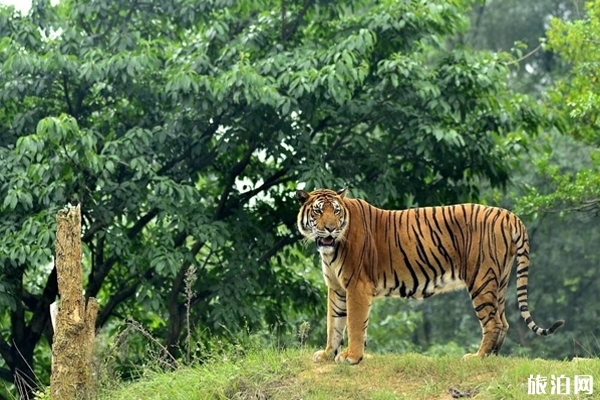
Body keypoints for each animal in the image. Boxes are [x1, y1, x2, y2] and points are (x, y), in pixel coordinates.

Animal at [298, 189, 564, 364]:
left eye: (336, 211)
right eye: (318, 211)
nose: (330, 228)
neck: (331, 249)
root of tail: (510, 215)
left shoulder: (357, 286)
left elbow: (353, 324)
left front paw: (351, 357)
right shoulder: (337, 288)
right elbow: (334, 323)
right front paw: (327, 354)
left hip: (482, 278)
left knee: (494, 322)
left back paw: (477, 357)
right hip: (499, 280)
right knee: (504, 321)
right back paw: (491, 357)